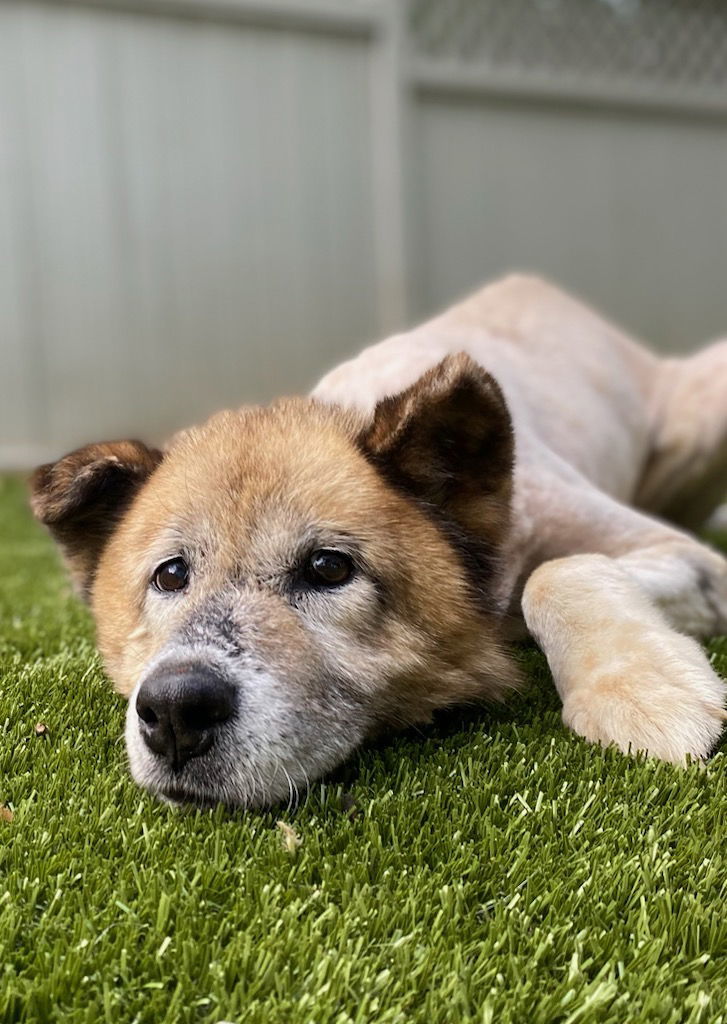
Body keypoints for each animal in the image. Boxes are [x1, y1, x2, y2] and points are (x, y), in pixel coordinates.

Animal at [31, 274, 727, 806]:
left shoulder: (683, 558)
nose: (176, 710)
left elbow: (556, 572)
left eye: (328, 568)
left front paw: (644, 693)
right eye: (171, 574)